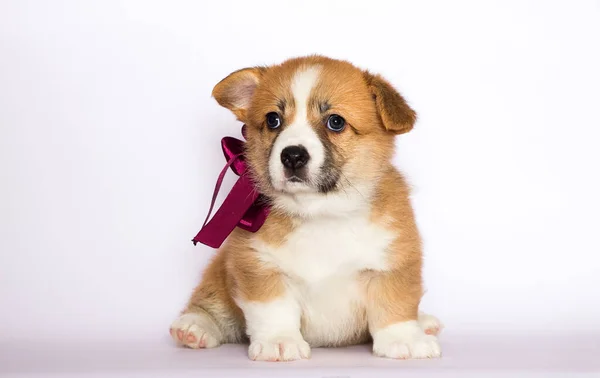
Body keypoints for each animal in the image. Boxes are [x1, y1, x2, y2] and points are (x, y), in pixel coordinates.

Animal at [171, 55, 442, 360]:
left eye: (335, 122)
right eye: (273, 119)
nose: (292, 155)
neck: (321, 211)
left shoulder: (393, 262)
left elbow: (395, 304)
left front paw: (404, 339)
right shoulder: (259, 266)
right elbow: (273, 310)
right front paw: (279, 341)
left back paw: (425, 322)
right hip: (220, 274)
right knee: (211, 303)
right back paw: (194, 327)